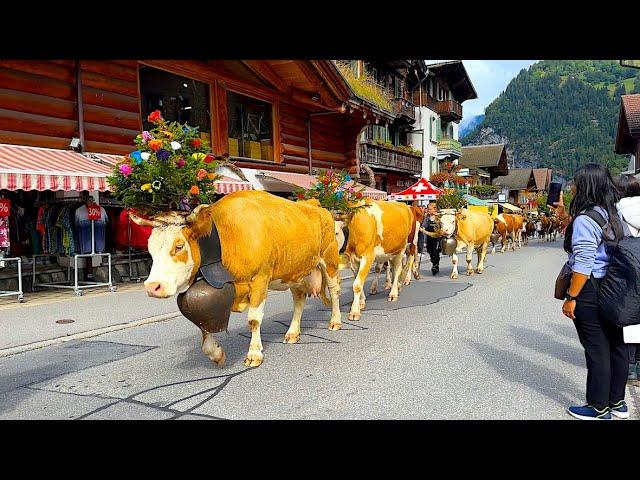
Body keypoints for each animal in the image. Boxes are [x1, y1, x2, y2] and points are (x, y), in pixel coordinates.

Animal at [129, 191, 344, 368]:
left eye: (179, 246)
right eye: (149, 248)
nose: (152, 287)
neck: (228, 236)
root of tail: (315, 205)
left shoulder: (260, 279)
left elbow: (254, 319)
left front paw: (254, 353)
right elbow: (203, 322)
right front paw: (216, 353)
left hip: (330, 260)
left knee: (334, 291)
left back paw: (335, 321)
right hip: (295, 272)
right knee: (299, 300)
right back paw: (292, 332)